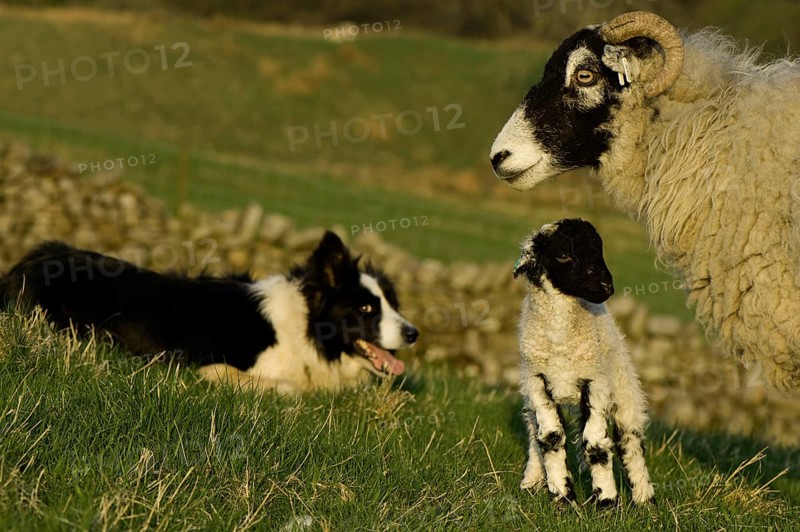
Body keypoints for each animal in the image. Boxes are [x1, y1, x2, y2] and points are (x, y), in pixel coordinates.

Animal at [514, 218, 654, 506]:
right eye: (562, 255)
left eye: (599, 251)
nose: (607, 288)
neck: (560, 340)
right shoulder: (537, 381)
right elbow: (550, 438)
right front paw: (562, 496)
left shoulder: (596, 382)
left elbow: (595, 444)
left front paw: (607, 500)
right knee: (534, 436)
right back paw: (531, 481)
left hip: (623, 384)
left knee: (630, 439)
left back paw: (644, 498)